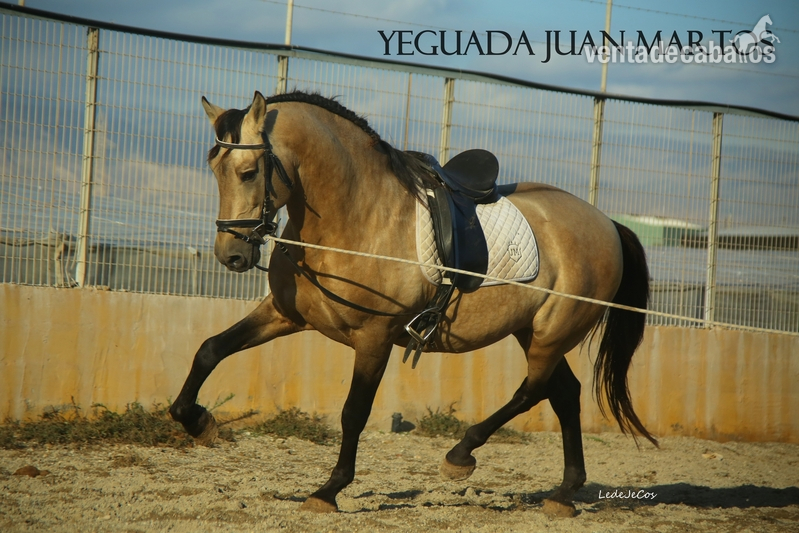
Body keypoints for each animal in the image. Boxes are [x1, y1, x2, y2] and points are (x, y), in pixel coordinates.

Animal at [169, 90, 657, 517]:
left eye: (249, 172)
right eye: (214, 169)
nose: (231, 255)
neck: (358, 217)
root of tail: (607, 222)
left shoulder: (374, 338)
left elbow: (353, 412)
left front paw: (328, 491)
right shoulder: (284, 315)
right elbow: (210, 349)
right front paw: (196, 421)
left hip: (552, 333)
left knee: (533, 391)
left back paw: (461, 455)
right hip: (532, 332)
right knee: (564, 394)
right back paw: (564, 493)